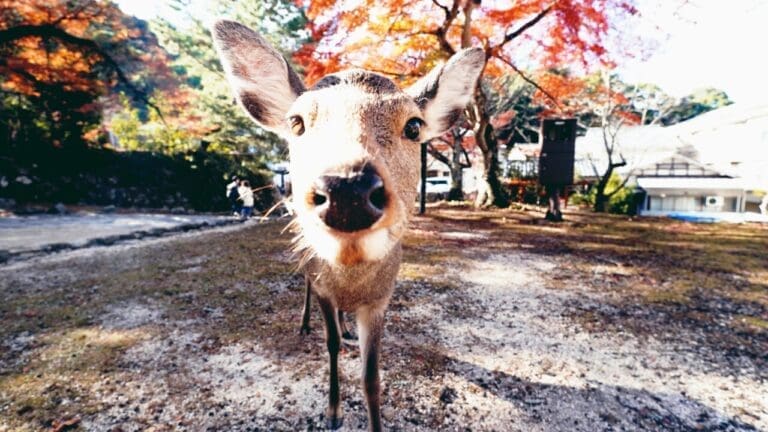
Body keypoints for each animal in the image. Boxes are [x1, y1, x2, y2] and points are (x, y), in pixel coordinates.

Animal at [213, 19, 484, 428]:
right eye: (296, 123)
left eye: (414, 126)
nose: (348, 188)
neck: (352, 282)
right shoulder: (325, 287)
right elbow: (331, 346)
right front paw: (332, 412)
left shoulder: (381, 298)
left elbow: (372, 377)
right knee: (306, 287)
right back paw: (306, 323)